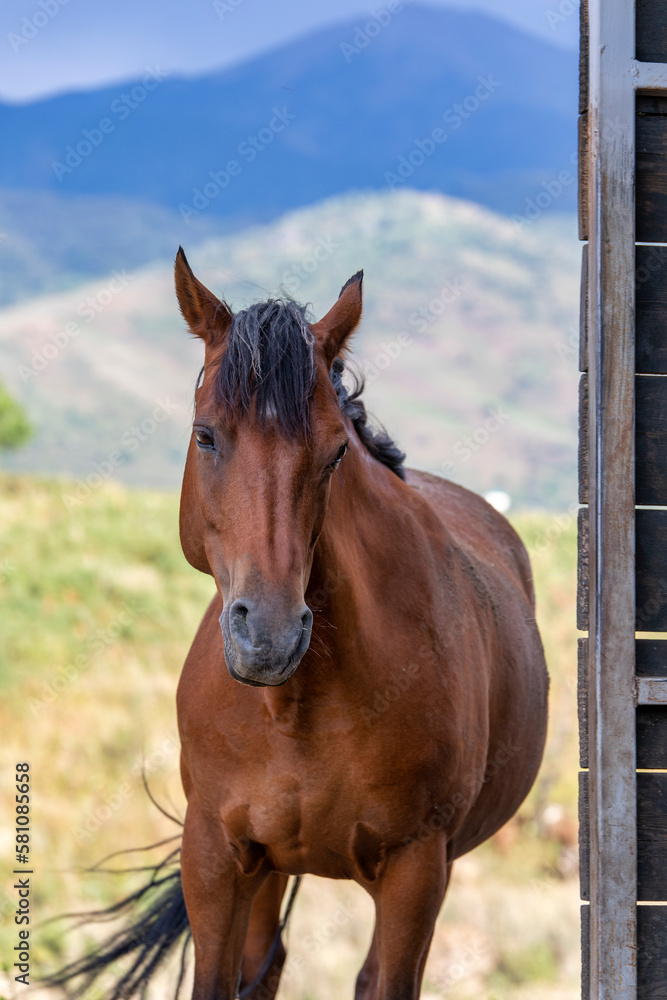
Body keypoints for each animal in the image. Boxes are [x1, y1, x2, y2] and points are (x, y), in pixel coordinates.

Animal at [47, 250, 548, 1000]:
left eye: (335, 452)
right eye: (205, 436)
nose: (269, 638)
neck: (300, 708)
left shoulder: (416, 870)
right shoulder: (217, 855)